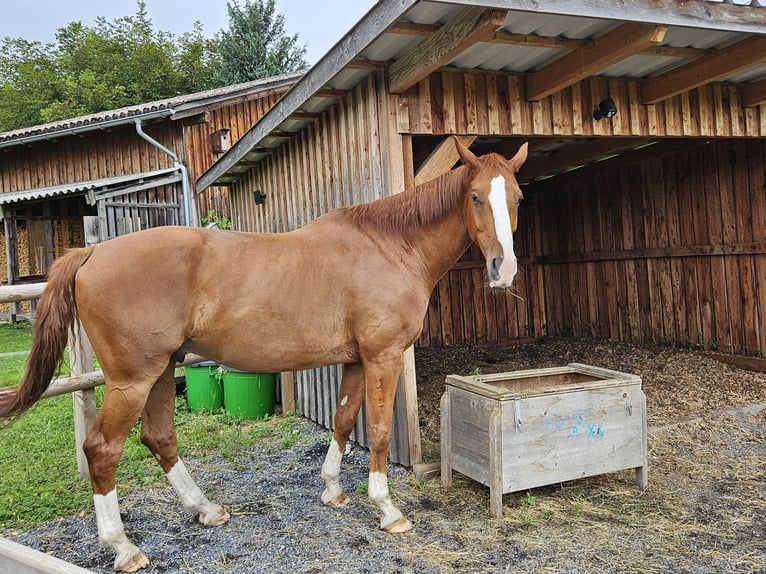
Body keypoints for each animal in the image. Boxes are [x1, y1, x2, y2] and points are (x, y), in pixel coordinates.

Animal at [0, 137, 528, 572]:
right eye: (476, 196)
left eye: (518, 197)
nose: (503, 270)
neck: (391, 246)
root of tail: (91, 253)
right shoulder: (384, 356)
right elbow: (377, 432)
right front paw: (387, 510)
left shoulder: (357, 360)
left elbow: (343, 420)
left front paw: (333, 490)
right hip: (133, 378)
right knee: (102, 450)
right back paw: (124, 548)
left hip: (161, 370)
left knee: (159, 437)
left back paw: (205, 510)